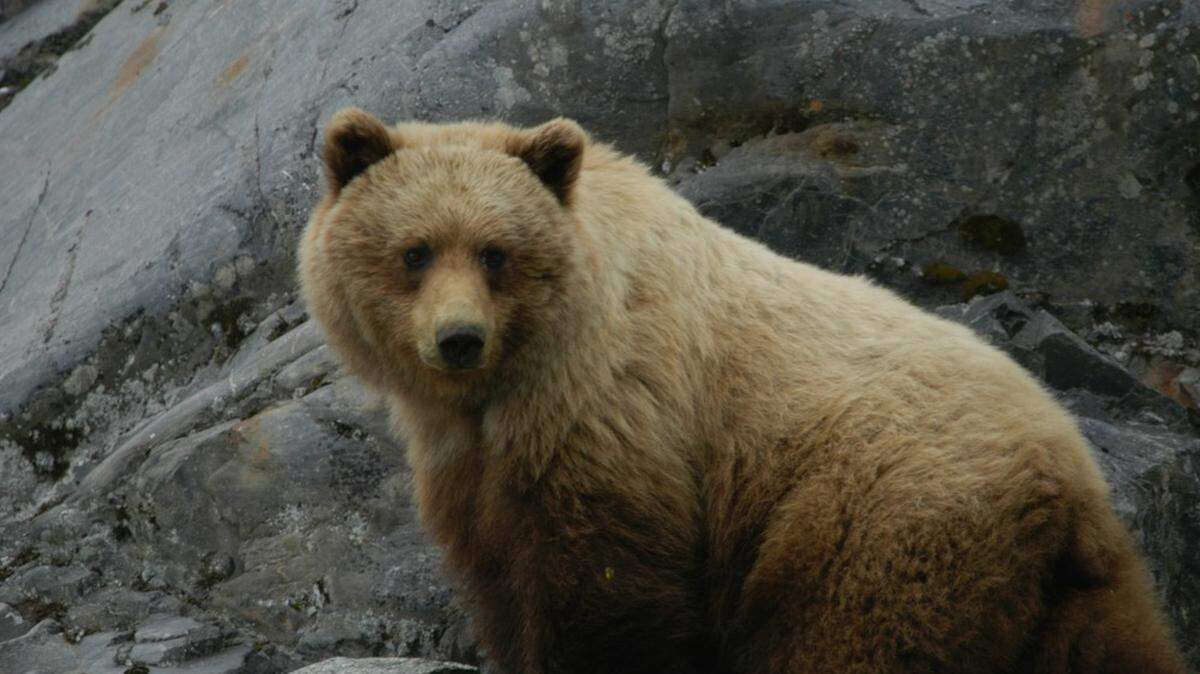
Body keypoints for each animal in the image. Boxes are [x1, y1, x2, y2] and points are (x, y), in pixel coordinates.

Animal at [298, 108, 1189, 674]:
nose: (458, 339)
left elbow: (606, 597)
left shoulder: (617, 418)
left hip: (877, 523)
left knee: (849, 644)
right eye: (415, 251)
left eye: (495, 253)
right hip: (1073, 592)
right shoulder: (473, 466)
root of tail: (1067, 476)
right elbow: (499, 579)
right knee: (1119, 648)